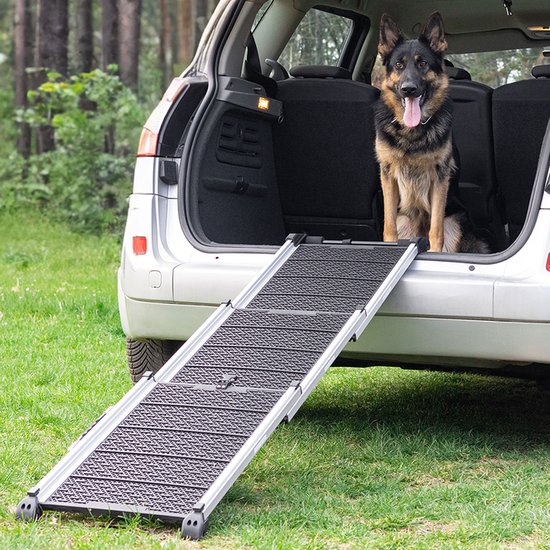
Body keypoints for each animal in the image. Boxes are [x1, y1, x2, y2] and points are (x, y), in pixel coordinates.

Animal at [376, 12, 488, 254]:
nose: (408, 89)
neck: (412, 133)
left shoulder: (440, 178)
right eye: (398, 65)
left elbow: (436, 230)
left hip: (454, 222)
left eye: (423, 63)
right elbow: (388, 226)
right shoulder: (387, 175)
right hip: (404, 219)